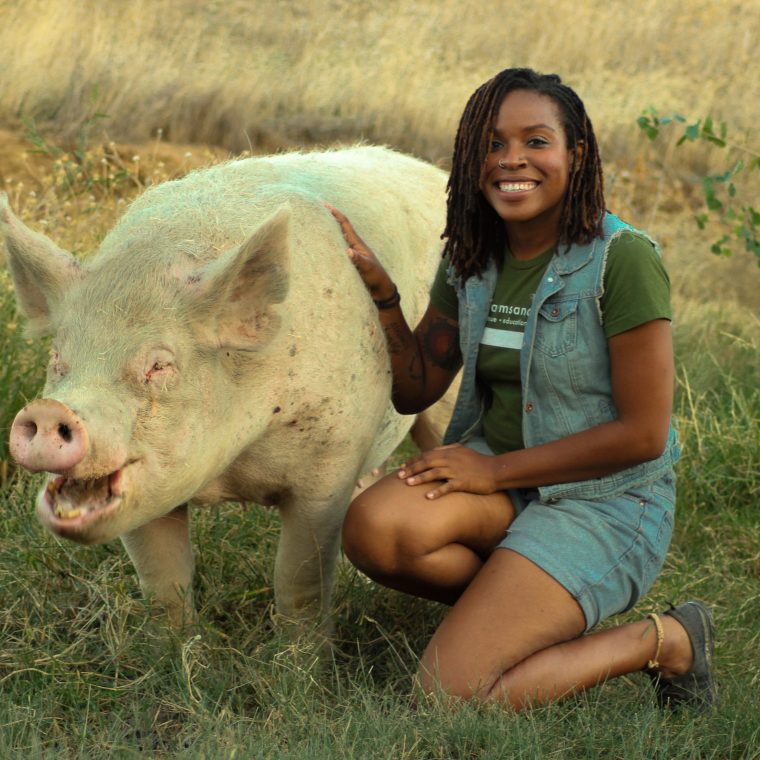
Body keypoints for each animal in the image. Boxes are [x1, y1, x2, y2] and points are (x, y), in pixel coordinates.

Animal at [1, 145, 452, 632]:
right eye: (58, 359)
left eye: (159, 365)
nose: (50, 411)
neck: (232, 470)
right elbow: (164, 582)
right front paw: (173, 645)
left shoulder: (331, 461)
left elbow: (299, 581)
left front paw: (302, 651)